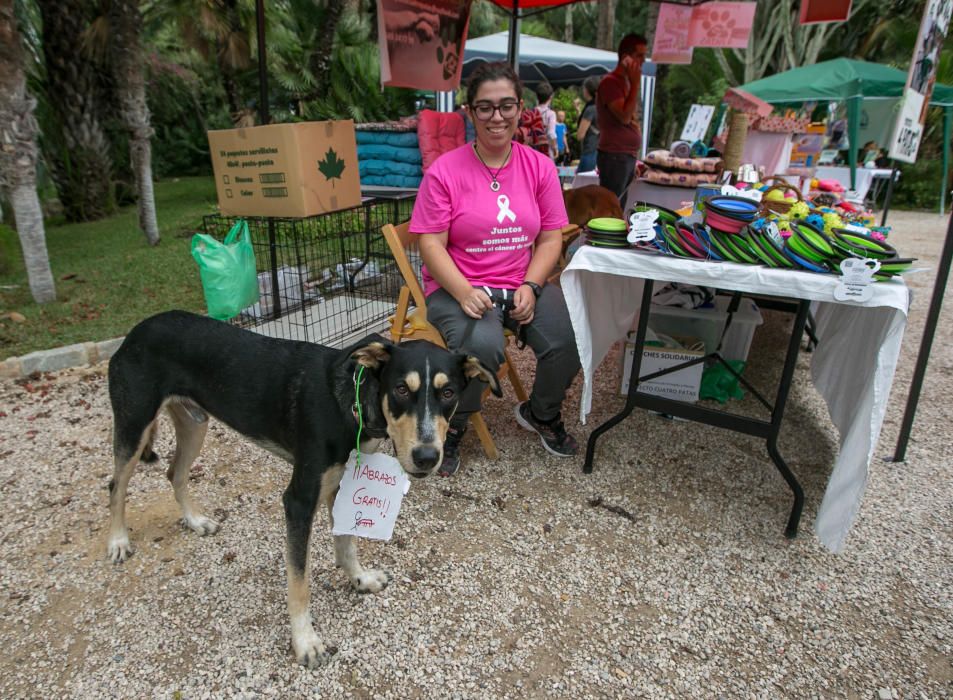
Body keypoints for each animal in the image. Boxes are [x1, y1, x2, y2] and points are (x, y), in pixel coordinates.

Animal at [106, 312, 498, 668]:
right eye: (401, 389)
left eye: (448, 393)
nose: (427, 457)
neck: (352, 404)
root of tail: (137, 329)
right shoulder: (299, 500)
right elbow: (300, 582)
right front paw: (305, 642)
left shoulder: (341, 484)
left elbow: (347, 542)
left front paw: (360, 579)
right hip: (134, 425)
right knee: (116, 485)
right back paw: (118, 541)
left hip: (193, 424)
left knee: (175, 474)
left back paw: (194, 520)